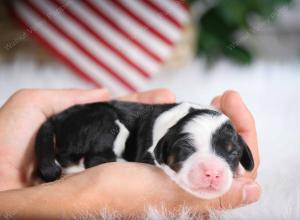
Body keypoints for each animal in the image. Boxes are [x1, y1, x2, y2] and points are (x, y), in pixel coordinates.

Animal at [35, 101, 255, 199]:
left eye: (233, 153)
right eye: (187, 149)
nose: (213, 173)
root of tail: (58, 117)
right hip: (107, 122)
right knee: (88, 158)